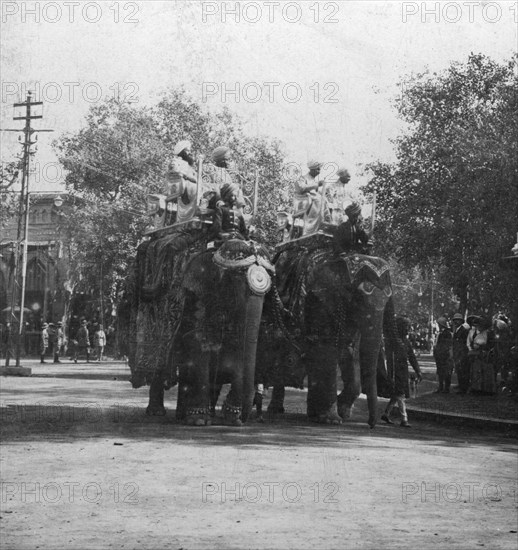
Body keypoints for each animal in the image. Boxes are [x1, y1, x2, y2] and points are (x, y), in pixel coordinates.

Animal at [124, 231, 276, 430]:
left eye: (269, 286)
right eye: (236, 278)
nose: (243, 419)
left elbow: (235, 348)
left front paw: (230, 420)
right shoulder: (194, 295)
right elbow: (197, 343)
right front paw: (199, 421)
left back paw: (185, 414)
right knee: (160, 363)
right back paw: (158, 412)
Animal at [260, 237, 402, 432]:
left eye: (388, 295)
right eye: (361, 293)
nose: (371, 425)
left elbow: (350, 352)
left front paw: (341, 413)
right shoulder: (319, 300)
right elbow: (325, 350)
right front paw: (332, 420)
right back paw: (275, 410)